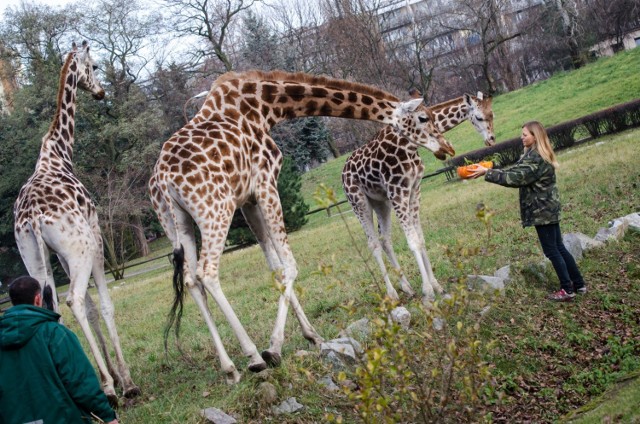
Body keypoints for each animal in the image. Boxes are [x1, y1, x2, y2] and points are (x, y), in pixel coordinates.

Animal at [12, 41, 140, 402]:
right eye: (94, 65)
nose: (100, 92)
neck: (60, 153)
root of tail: (33, 218)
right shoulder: (94, 237)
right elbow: (104, 305)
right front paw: (123, 379)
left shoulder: (60, 254)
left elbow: (93, 308)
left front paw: (111, 374)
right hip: (80, 248)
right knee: (73, 300)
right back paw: (110, 387)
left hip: (34, 256)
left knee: (51, 305)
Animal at [148, 70, 456, 384]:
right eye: (423, 118)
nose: (447, 148)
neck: (266, 107)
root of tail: (163, 178)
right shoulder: (265, 183)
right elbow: (290, 264)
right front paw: (274, 347)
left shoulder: (248, 199)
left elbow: (276, 267)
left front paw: (312, 335)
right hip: (214, 210)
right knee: (207, 273)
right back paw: (254, 357)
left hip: (176, 220)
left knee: (190, 280)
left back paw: (230, 368)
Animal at [340, 92, 496, 304]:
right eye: (479, 117)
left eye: (491, 114)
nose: (491, 140)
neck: (410, 144)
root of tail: (343, 171)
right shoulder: (397, 190)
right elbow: (413, 240)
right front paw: (428, 291)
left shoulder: (414, 189)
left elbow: (420, 238)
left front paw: (436, 286)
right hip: (358, 201)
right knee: (373, 243)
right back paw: (392, 294)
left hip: (380, 202)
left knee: (385, 239)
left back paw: (406, 287)